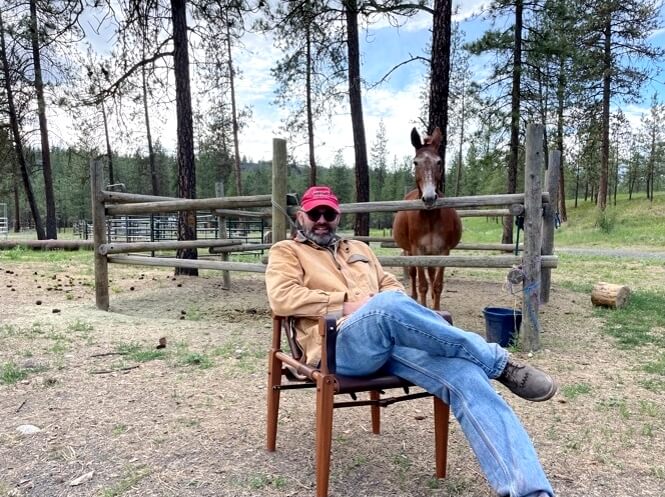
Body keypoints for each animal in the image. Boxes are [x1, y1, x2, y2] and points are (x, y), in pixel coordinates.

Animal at [392, 127, 463, 310]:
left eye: (439, 161)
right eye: (415, 162)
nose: (429, 198)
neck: (430, 219)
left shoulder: (444, 252)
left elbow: (437, 284)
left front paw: (436, 310)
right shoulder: (417, 251)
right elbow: (422, 284)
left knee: (431, 274)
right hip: (409, 251)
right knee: (413, 274)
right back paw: (414, 297)